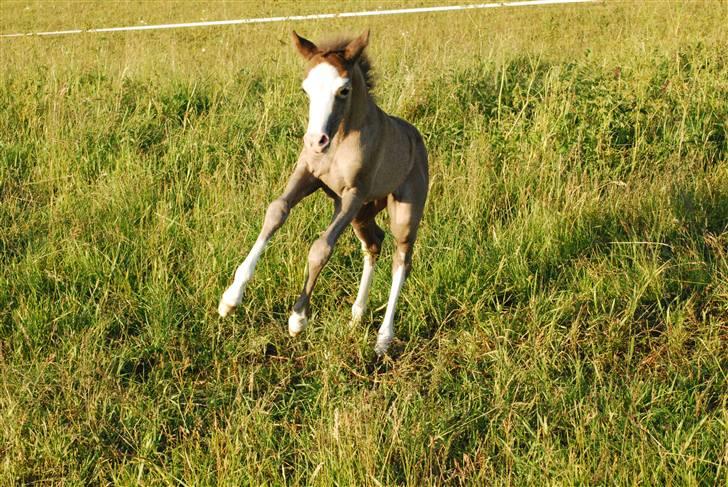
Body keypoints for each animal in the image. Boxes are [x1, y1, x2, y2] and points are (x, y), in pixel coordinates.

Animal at [218, 30, 429, 355]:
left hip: (402, 212)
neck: (340, 140)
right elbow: (276, 211)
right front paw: (230, 298)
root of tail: (417, 139)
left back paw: (383, 338)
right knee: (374, 244)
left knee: (401, 261)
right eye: (306, 90)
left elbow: (321, 248)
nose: (316, 140)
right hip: (362, 214)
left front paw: (297, 318)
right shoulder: (308, 174)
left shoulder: (353, 193)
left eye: (343, 90)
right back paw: (356, 315)